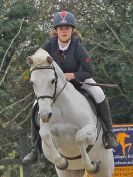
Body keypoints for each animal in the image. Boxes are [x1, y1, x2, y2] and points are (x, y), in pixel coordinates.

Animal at [27, 48, 114, 177]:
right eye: (32, 83)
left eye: (53, 80)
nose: (45, 115)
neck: (60, 107)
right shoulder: (47, 140)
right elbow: (45, 136)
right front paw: (62, 162)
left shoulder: (91, 130)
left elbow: (79, 137)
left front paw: (91, 166)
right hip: (71, 172)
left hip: (105, 166)